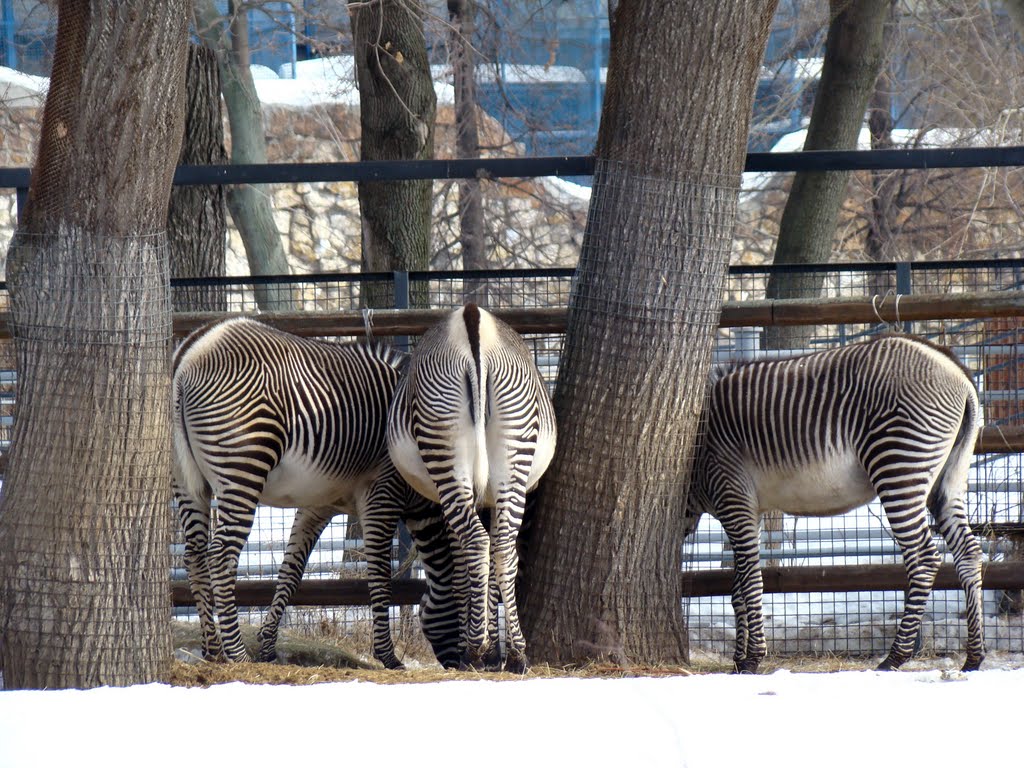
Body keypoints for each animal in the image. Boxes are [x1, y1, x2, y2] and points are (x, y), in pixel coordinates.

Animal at [173, 315, 460, 671]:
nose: (471, 662)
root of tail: (193, 350)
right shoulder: (382, 492)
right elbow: (380, 573)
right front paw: (388, 656)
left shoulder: (318, 505)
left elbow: (291, 573)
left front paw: (267, 646)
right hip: (242, 467)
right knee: (220, 555)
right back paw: (237, 654)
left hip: (187, 479)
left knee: (195, 555)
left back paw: (213, 651)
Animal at [385, 307, 561, 671]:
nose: (448, 661)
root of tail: (472, 318)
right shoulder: (489, 499)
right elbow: (491, 564)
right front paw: (495, 650)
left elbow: (462, 568)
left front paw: (484, 646)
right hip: (512, 452)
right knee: (503, 548)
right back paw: (515, 653)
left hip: (449, 457)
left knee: (477, 543)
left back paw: (476, 650)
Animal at [684, 335, 987, 671]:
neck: (697, 449)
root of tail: (953, 367)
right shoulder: (750, 510)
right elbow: (737, 589)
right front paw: (738, 660)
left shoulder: (734, 499)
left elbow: (749, 582)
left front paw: (751, 659)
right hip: (948, 479)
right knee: (968, 552)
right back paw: (974, 656)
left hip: (898, 464)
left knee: (924, 557)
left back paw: (896, 656)